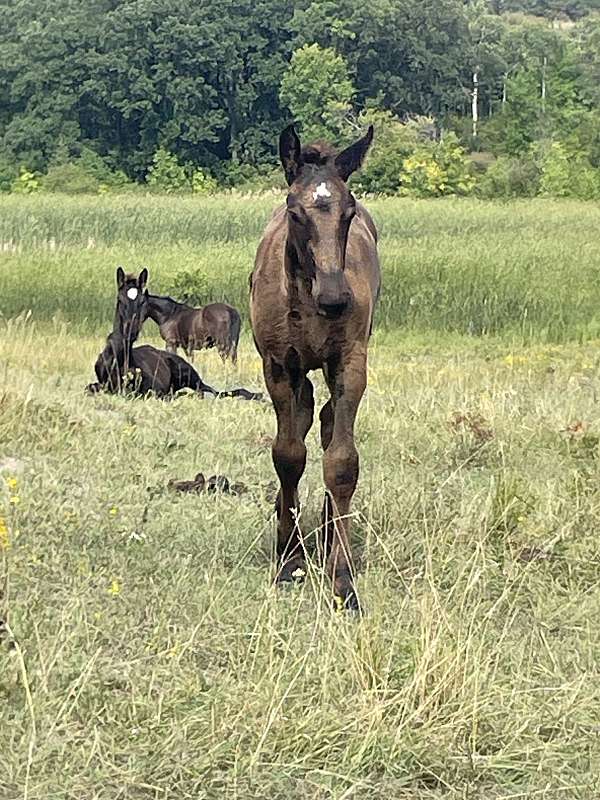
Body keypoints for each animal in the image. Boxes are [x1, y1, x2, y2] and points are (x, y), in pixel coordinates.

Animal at [87, 268, 262, 400]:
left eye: (142, 302)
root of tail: (233, 311)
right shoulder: (184, 346)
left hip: (221, 346)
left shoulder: (171, 343)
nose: (131, 331)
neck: (169, 315)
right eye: (120, 299)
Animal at [250, 125, 380, 612]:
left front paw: (342, 578)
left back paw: (324, 529)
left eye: (350, 210)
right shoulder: (278, 365)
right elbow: (287, 455)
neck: (306, 302)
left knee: (323, 422)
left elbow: (341, 461)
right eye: (295, 211)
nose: (335, 297)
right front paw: (288, 559)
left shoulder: (350, 362)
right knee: (304, 418)